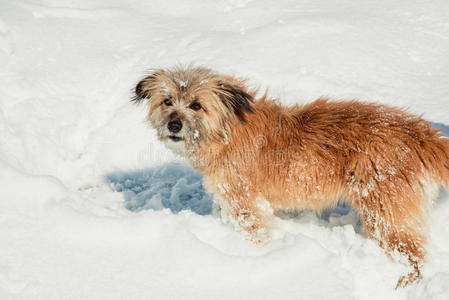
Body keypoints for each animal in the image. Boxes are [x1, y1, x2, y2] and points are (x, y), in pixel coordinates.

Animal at [132, 65, 448, 288]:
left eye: (196, 105)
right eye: (167, 101)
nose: (174, 125)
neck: (226, 131)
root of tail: (421, 133)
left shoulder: (244, 203)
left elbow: (256, 232)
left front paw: (260, 257)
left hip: (384, 212)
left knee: (413, 253)